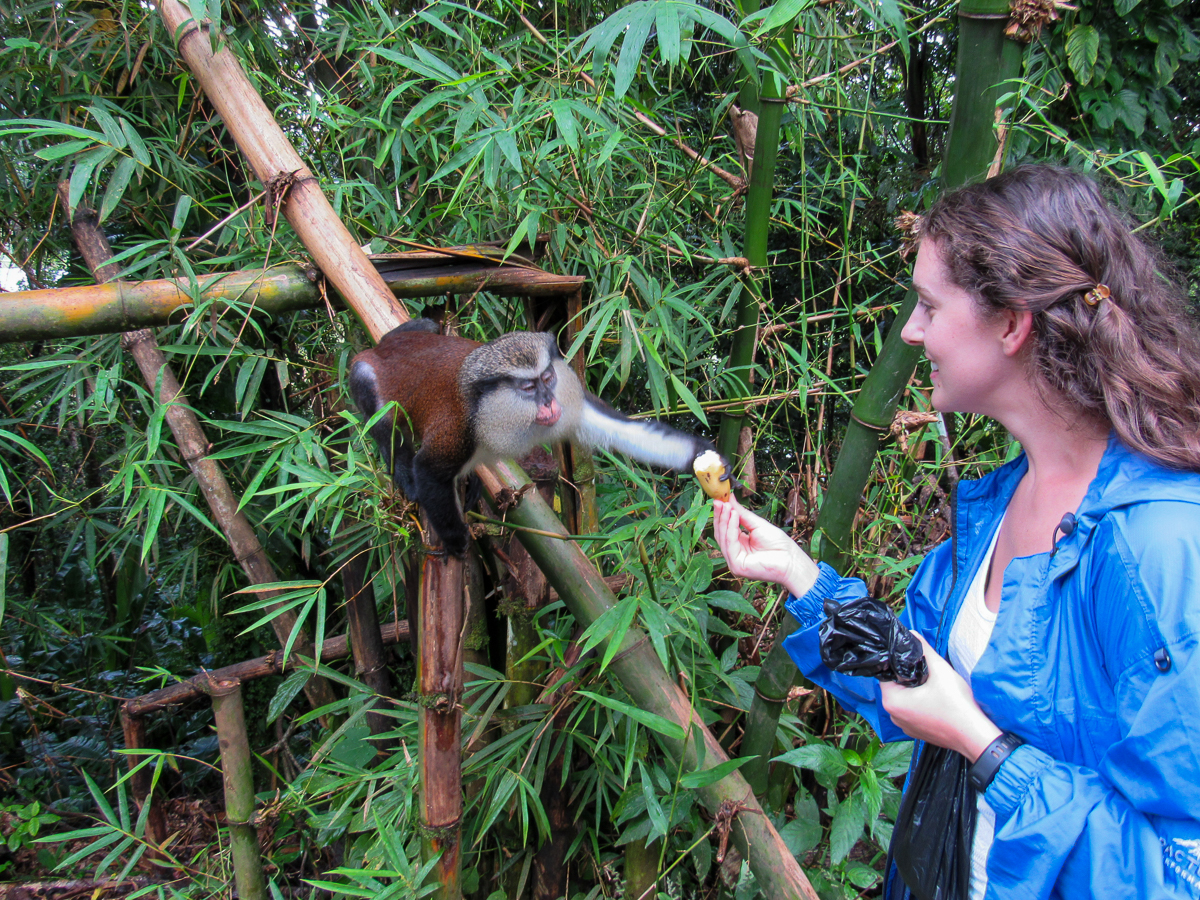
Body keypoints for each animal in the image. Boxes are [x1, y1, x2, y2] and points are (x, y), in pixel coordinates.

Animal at [348, 316, 720, 556]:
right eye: (528, 388)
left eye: (547, 378)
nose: (549, 403)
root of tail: (381, 347)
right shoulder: (459, 430)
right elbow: (427, 470)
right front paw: (457, 543)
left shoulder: (571, 400)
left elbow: (619, 428)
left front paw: (705, 457)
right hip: (363, 373)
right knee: (380, 417)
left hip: (418, 330)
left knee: (428, 323)